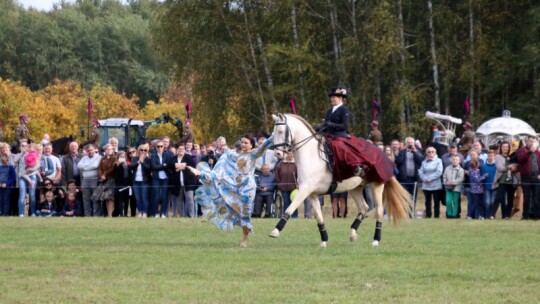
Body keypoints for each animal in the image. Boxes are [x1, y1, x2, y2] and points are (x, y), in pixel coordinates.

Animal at [268, 113, 412, 247]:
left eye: (281, 131)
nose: (278, 154)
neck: (310, 155)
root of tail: (381, 153)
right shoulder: (312, 194)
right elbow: (319, 217)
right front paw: (324, 241)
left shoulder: (305, 190)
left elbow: (290, 208)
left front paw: (275, 231)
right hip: (355, 188)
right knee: (364, 208)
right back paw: (353, 234)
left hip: (376, 185)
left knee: (379, 210)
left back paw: (376, 240)